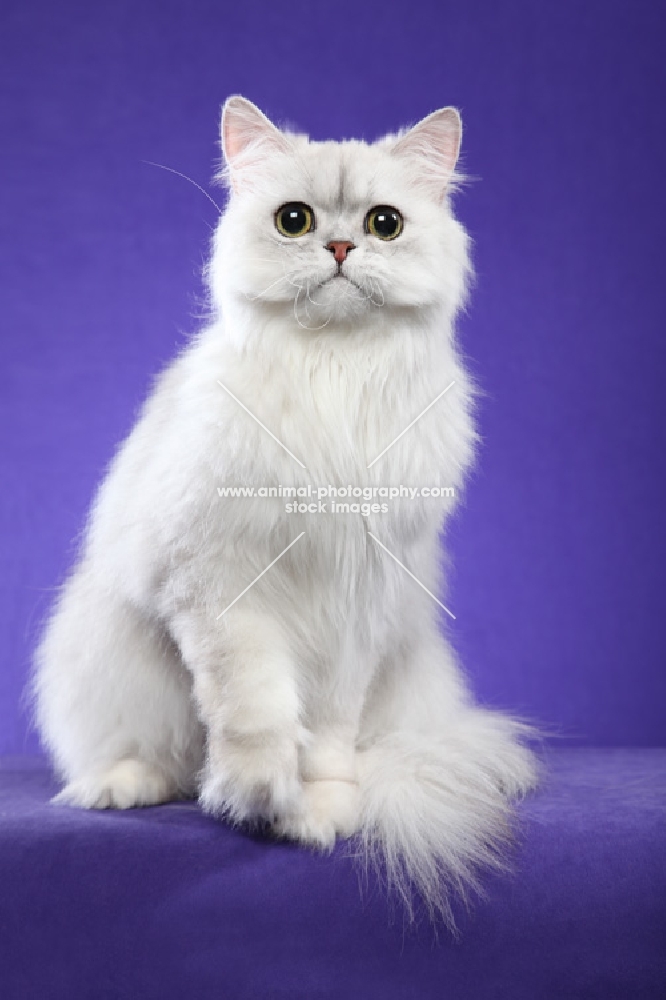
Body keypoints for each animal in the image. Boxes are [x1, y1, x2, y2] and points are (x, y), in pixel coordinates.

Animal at [33, 95, 536, 920]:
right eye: (294, 221)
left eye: (385, 224)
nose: (339, 246)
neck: (333, 365)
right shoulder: (220, 590)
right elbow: (257, 712)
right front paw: (260, 798)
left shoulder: (357, 604)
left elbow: (328, 733)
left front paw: (319, 811)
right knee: (164, 760)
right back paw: (121, 788)